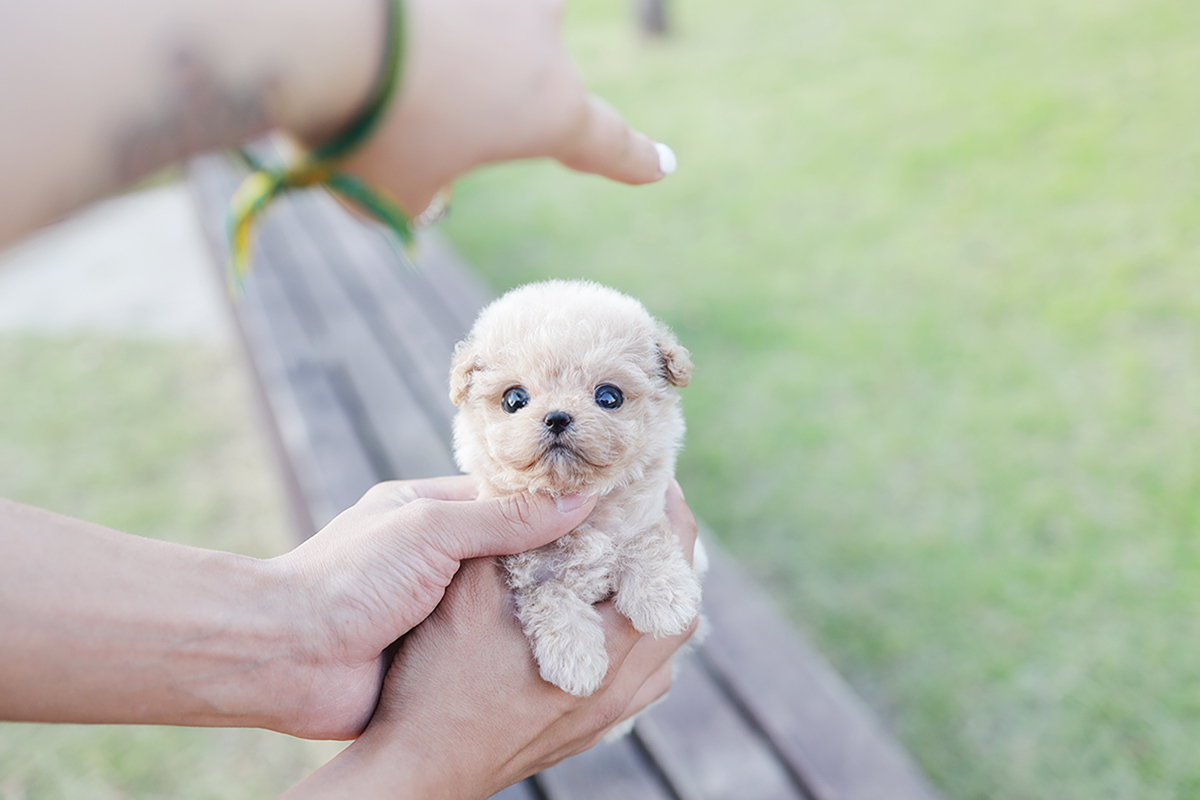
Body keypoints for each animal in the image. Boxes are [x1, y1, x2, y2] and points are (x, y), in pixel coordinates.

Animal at [451, 284, 700, 695]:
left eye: (609, 397)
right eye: (514, 400)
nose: (557, 417)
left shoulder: (642, 510)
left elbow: (646, 538)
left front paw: (664, 598)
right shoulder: (528, 571)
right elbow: (551, 598)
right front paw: (576, 660)